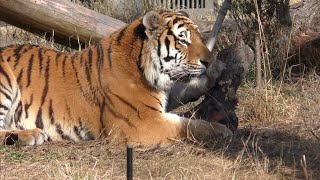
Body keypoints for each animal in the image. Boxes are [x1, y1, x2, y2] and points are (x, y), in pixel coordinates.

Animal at [0, 9, 231, 146]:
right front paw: (223, 130)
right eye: (183, 40)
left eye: (200, 37)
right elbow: (189, 125)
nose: (209, 61)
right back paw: (31, 135)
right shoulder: (140, 122)